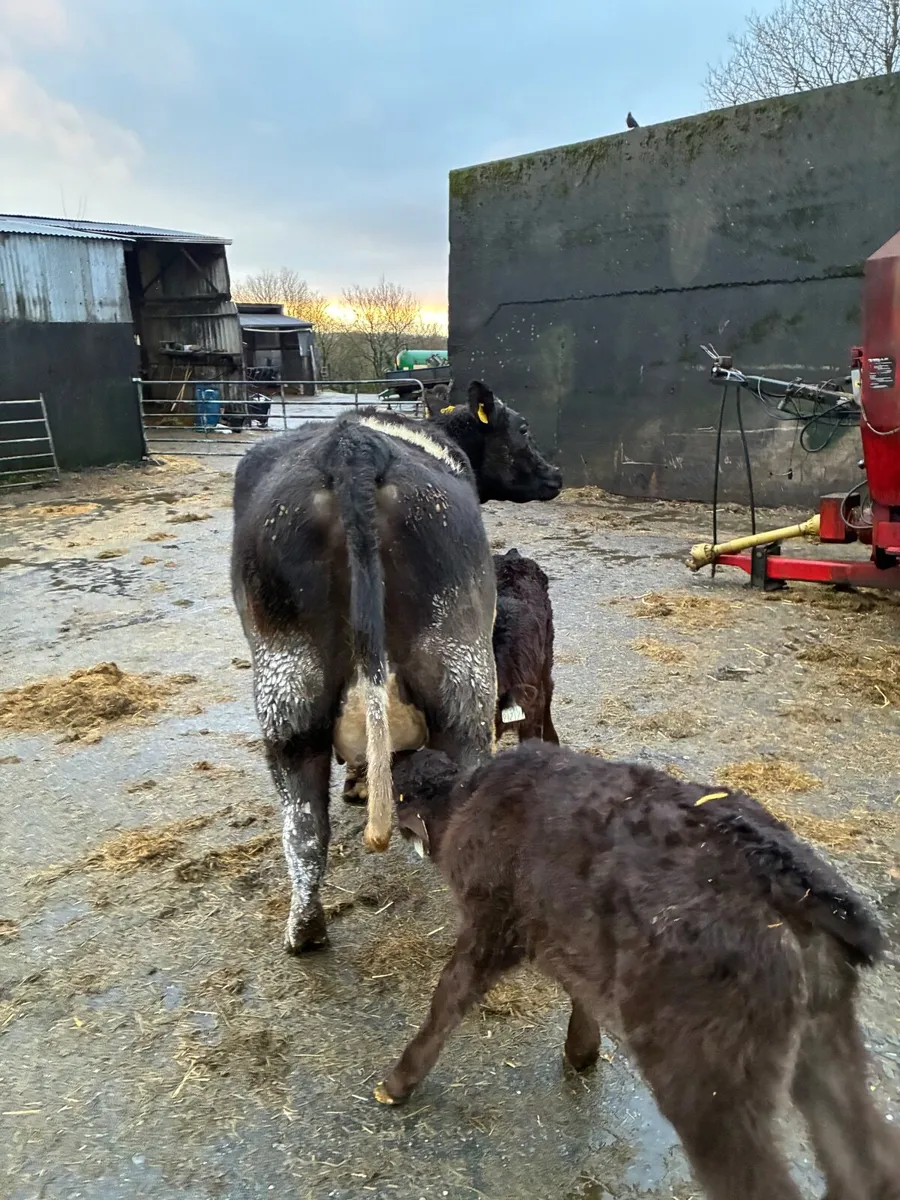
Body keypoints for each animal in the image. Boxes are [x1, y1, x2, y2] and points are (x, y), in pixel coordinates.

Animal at [376, 743, 900, 1200]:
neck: (467, 799)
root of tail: (789, 882)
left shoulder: (492, 923)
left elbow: (448, 998)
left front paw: (397, 1083)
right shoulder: (567, 934)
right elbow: (577, 987)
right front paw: (581, 1052)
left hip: (706, 1074)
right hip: (823, 1034)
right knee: (868, 1163)